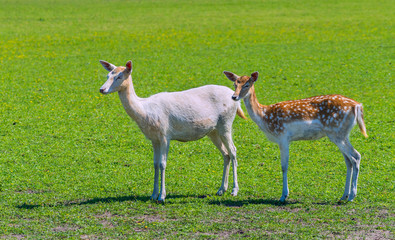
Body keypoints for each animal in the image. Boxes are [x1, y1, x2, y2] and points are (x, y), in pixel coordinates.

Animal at [99, 59, 248, 201]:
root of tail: (235, 98)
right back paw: (221, 189)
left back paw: (234, 190)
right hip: (213, 131)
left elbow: (162, 164)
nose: (102, 89)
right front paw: (153, 195)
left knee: (233, 151)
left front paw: (162, 196)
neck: (146, 111)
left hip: (226, 123)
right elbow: (155, 164)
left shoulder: (165, 134)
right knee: (225, 153)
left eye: (119, 76)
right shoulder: (154, 138)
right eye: (107, 75)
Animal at [223, 70, 368, 202]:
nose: (234, 97)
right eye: (235, 84)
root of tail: (357, 106)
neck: (264, 116)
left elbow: (284, 166)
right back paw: (344, 195)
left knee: (355, 157)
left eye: (247, 85)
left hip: (336, 133)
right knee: (349, 160)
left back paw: (352, 196)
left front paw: (283, 196)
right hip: (342, 133)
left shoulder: (283, 137)